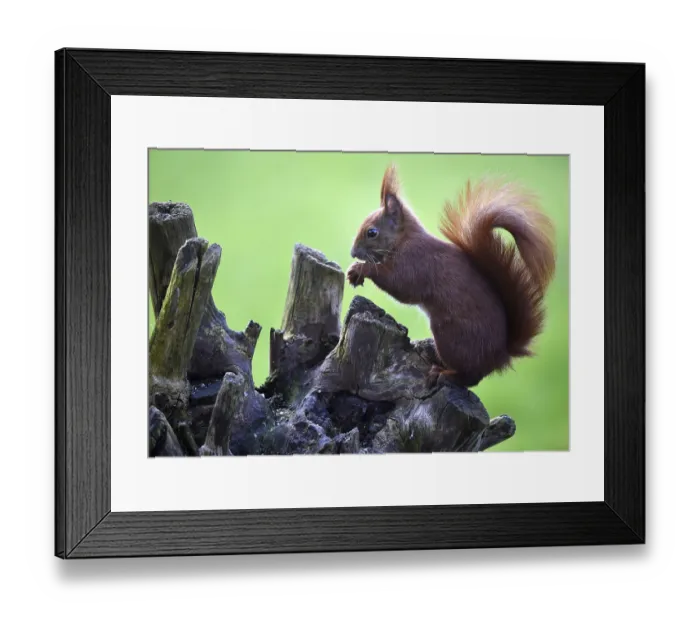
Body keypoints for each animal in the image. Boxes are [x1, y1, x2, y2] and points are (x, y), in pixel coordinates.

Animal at [346, 164, 556, 388]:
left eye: (372, 232)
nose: (353, 252)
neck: (405, 239)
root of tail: (499, 356)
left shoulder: (416, 262)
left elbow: (399, 285)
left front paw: (361, 269)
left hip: (450, 338)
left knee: (470, 378)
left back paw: (445, 373)